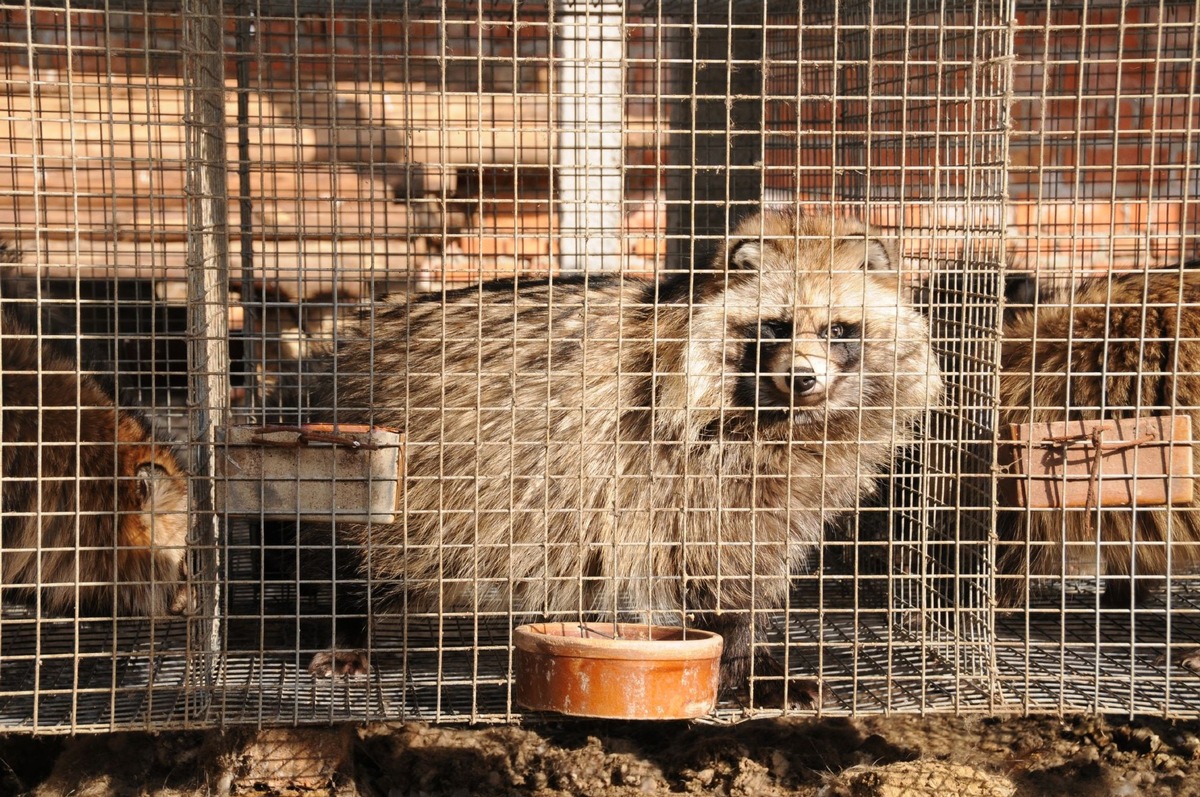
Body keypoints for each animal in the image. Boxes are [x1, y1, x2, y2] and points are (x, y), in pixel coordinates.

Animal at [302, 208, 945, 700]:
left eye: (840, 330)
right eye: (775, 327)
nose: (804, 379)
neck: (783, 422)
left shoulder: (781, 491)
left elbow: (752, 567)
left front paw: (752, 661)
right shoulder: (683, 475)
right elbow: (711, 569)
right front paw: (738, 661)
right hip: (412, 468)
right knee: (371, 545)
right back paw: (346, 617)